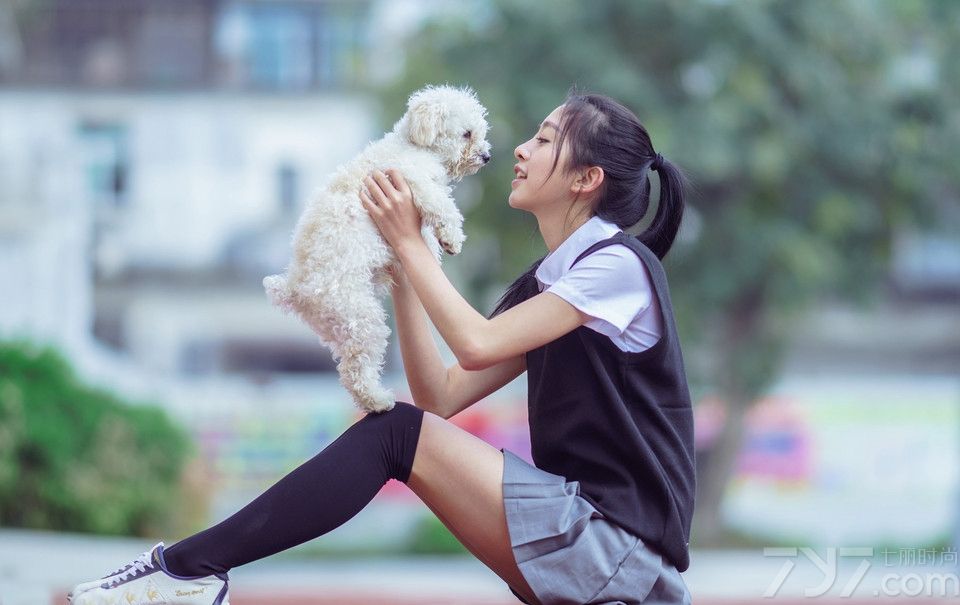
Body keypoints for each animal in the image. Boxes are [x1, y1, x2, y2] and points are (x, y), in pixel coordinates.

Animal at [262, 85, 492, 412]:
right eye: (467, 133)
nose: (487, 156)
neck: (415, 146)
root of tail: (295, 288)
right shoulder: (415, 182)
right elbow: (442, 206)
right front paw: (452, 239)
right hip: (362, 319)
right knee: (354, 371)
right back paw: (379, 401)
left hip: (344, 325)